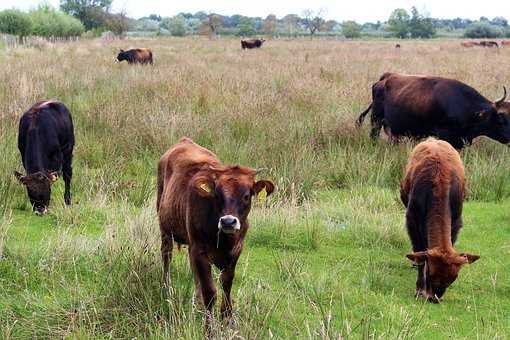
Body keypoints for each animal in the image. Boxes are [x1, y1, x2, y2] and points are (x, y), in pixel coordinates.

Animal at [157, 138, 274, 332]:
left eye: (247, 195)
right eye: (217, 195)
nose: (228, 222)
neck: (225, 240)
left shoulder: (236, 250)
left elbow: (226, 283)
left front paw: (227, 318)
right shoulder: (200, 250)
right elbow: (210, 291)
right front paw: (209, 327)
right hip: (165, 228)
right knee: (166, 255)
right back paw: (167, 287)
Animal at [400, 138, 480, 302]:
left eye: (453, 278)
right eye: (431, 274)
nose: (434, 298)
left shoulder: (456, 220)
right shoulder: (411, 218)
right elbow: (420, 254)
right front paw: (419, 289)